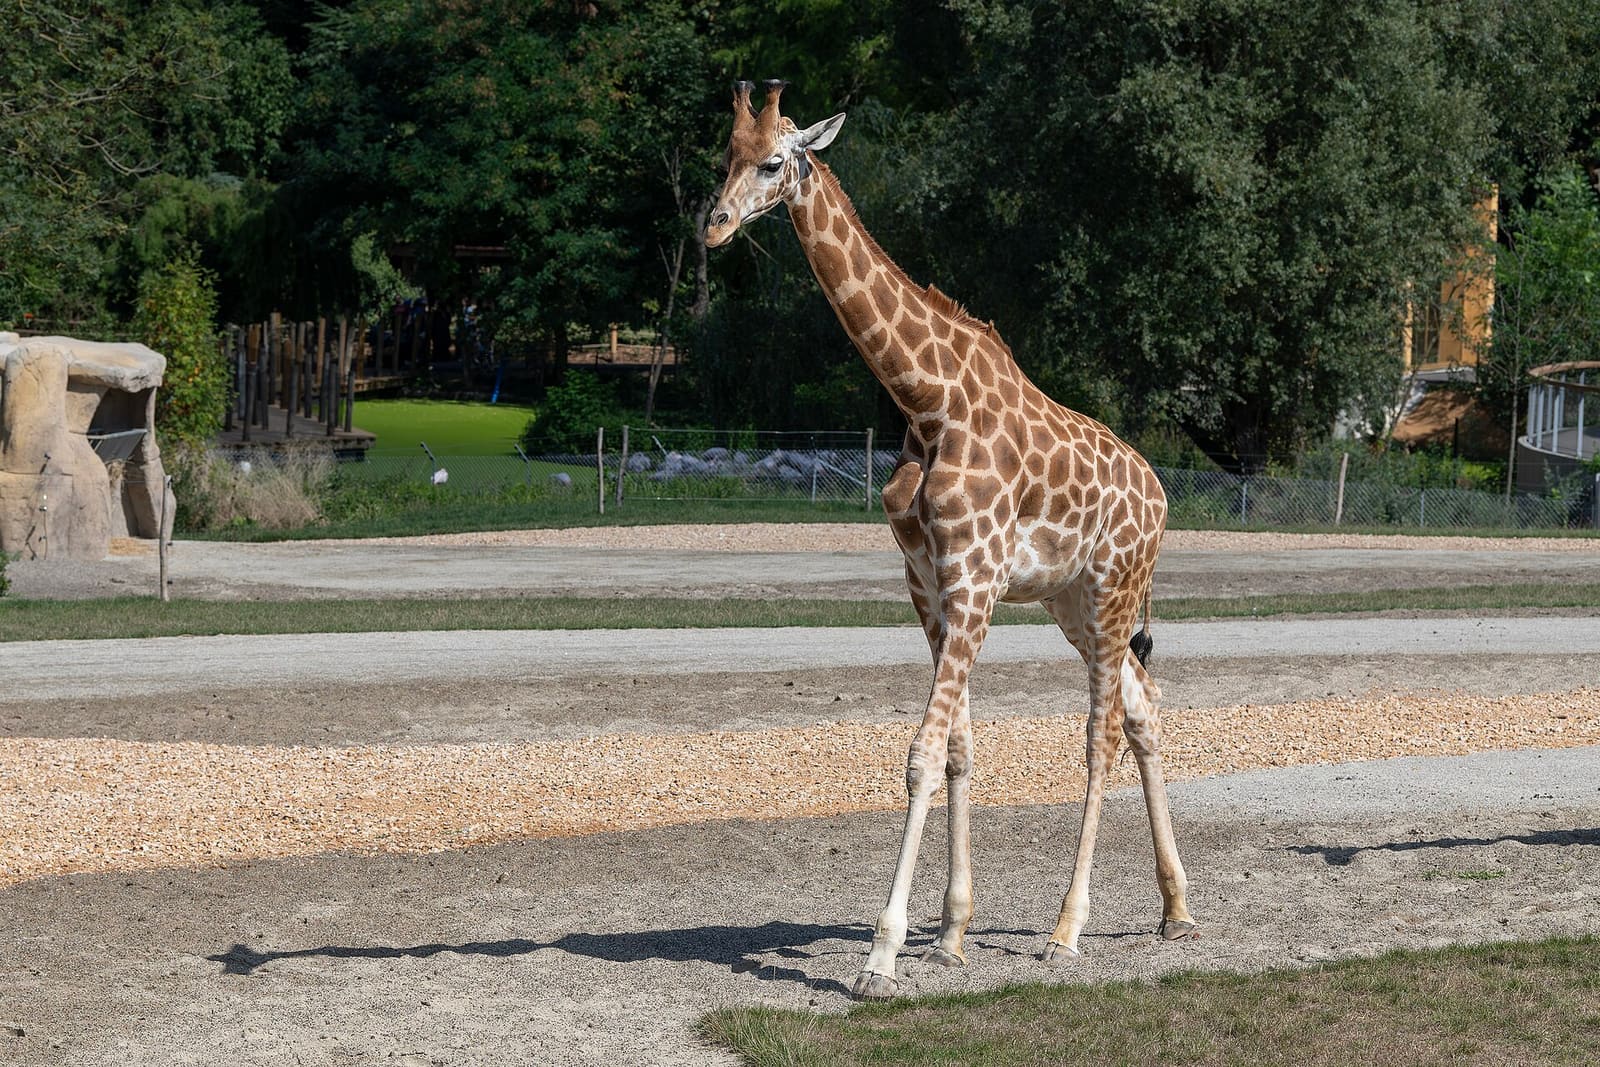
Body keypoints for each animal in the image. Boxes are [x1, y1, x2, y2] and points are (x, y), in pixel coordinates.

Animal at [705, 80, 1197, 1001]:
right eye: (724, 154)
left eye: (776, 161)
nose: (712, 225)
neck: (926, 399)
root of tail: (1158, 493)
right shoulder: (929, 583)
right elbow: (961, 747)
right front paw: (952, 933)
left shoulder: (974, 579)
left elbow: (923, 751)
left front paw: (881, 953)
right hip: (1077, 603)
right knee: (1145, 710)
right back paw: (1176, 909)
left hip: (1116, 589)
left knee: (1102, 735)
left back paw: (1066, 929)